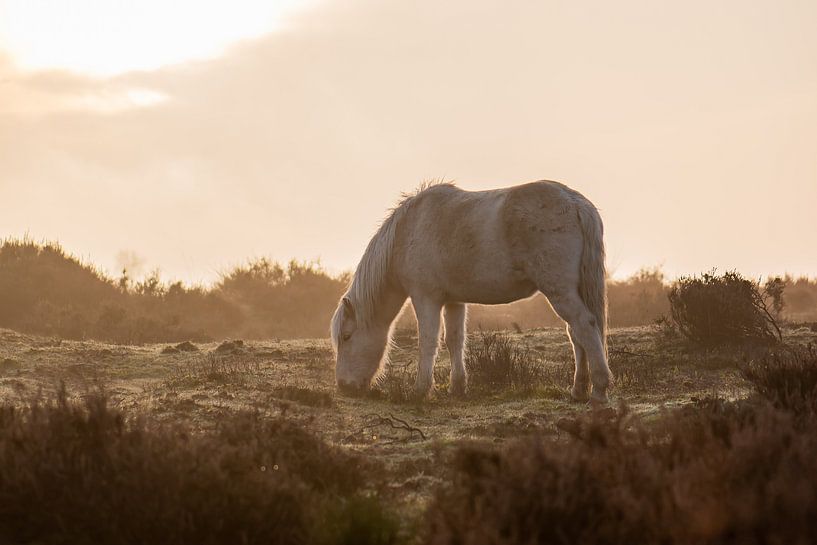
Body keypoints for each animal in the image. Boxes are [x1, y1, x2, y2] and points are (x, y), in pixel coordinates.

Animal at [330, 180, 612, 404]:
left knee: (584, 326)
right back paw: (578, 390)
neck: (407, 232)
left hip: (559, 291)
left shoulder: (426, 298)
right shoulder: (453, 301)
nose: (344, 387)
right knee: (576, 333)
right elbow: (455, 340)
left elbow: (428, 341)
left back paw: (599, 390)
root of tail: (574, 201)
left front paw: (421, 390)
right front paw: (458, 387)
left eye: (346, 336)